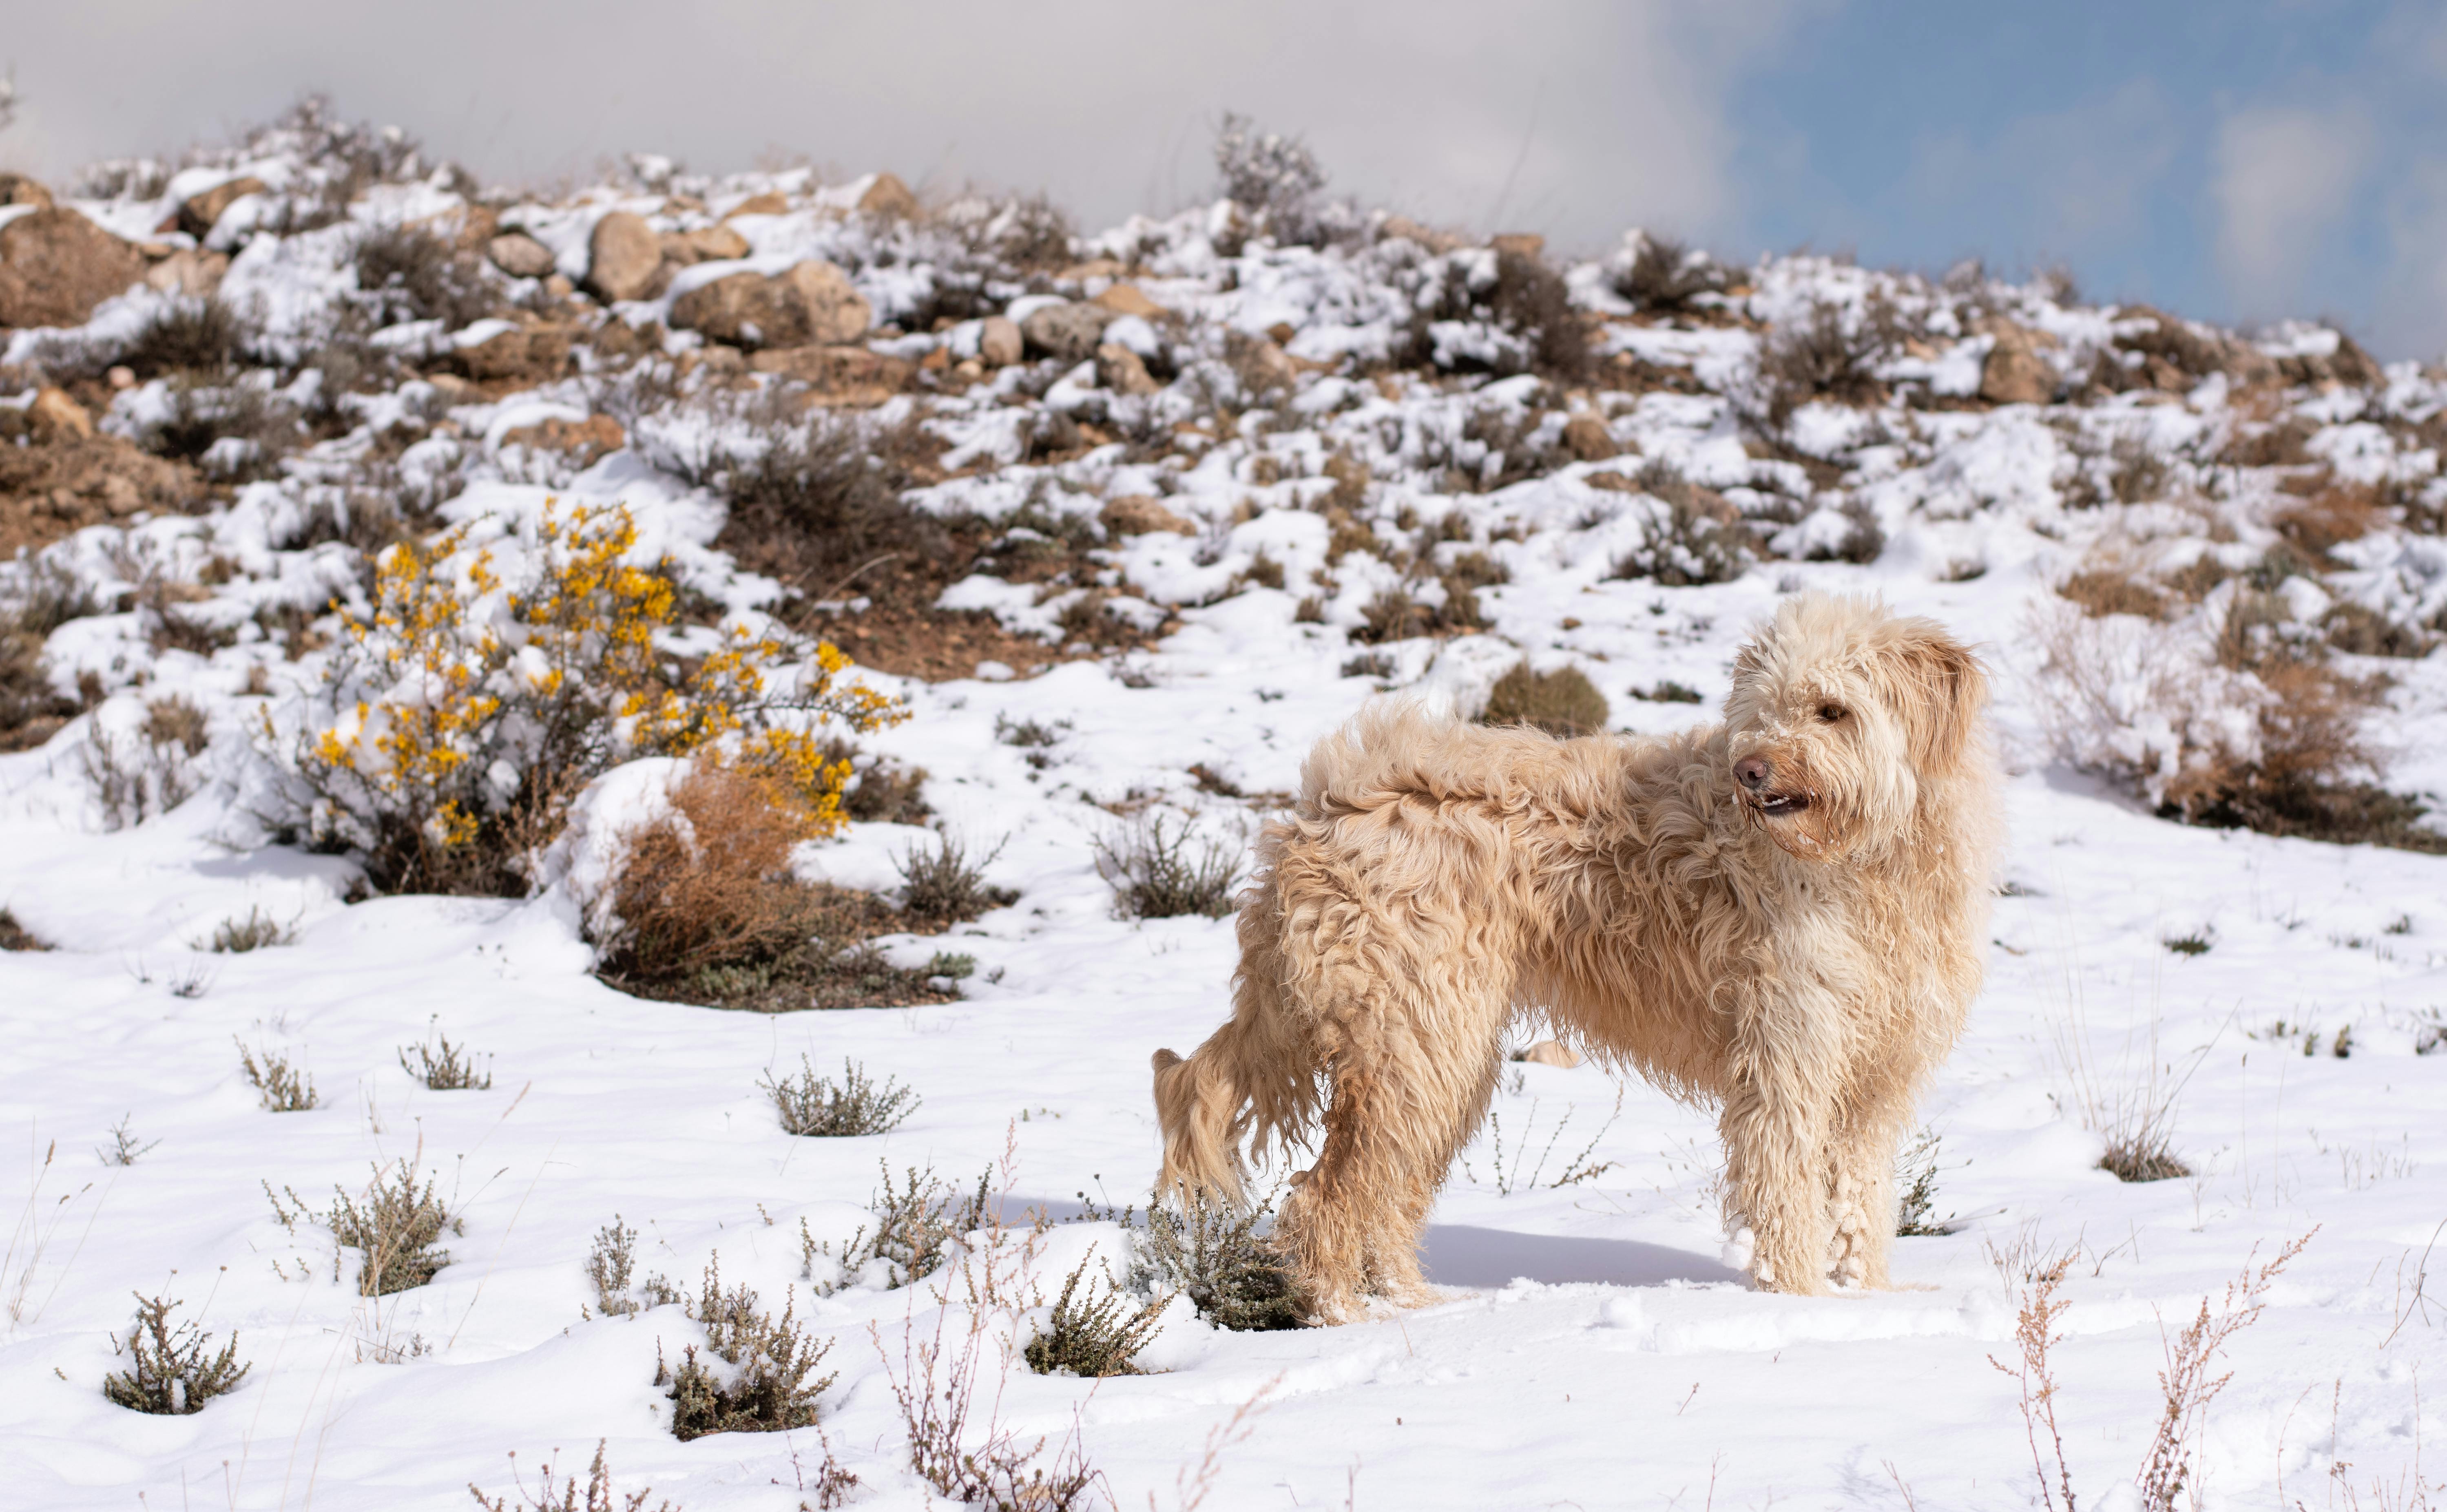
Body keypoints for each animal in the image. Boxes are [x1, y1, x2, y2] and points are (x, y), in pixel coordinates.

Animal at [1155, 592, 1997, 1321]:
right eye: (1763, 712)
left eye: (1832, 710)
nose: (1750, 770)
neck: (1868, 866)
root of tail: (1317, 810)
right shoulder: (1787, 1059)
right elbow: (1789, 1198)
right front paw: (1802, 1308)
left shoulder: (1874, 1079)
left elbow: (1862, 1204)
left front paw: (1870, 1298)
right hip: (1414, 1046)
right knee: (1327, 1198)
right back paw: (1347, 1316)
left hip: (1439, 1056)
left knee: (1385, 1197)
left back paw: (1420, 1305)